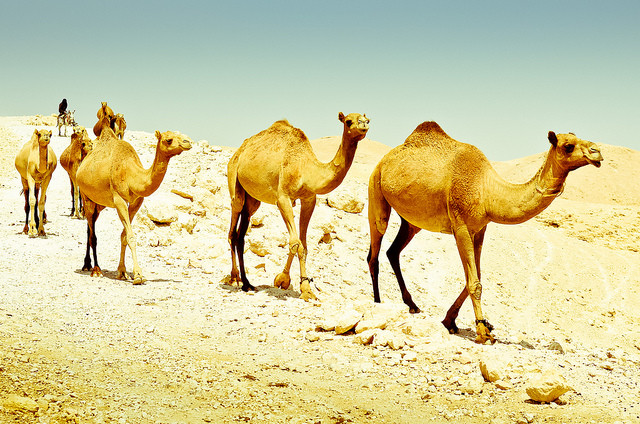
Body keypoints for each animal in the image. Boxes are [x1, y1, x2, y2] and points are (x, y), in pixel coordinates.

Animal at [76, 127, 192, 284]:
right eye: (169, 140)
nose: (188, 142)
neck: (131, 175)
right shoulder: (119, 200)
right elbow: (130, 236)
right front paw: (138, 275)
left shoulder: (137, 202)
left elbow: (124, 236)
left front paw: (122, 272)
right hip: (85, 196)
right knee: (92, 234)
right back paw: (96, 270)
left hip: (98, 204)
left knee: (90, 228)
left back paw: (87, 265)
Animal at [227, 112, 370, 300]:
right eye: (348, 121)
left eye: (367, 119)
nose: (364, 125)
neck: (306, 169)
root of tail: (239, 151)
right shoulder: (283, 198)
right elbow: (295, 243)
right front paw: (290, 282)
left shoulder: (309, 199)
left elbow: (304, 244)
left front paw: (300, 285)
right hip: (234, 178)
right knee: (233, 226)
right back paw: (234, 278)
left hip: (252, 199)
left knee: (241, 233)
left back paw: (247, 283)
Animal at [367, 122, 603, 344]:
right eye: (568, 146)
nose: (597, 151)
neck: (487, 191)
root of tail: (384, 160)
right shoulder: (460, 226)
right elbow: (474, 282)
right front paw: (482, 332)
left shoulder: (480, 228)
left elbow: (476, 276)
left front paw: (451, 321)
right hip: (375, 189)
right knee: (375, 248)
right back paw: (377, 302)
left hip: (411, 222)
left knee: (393, 251)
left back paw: (412, 305)